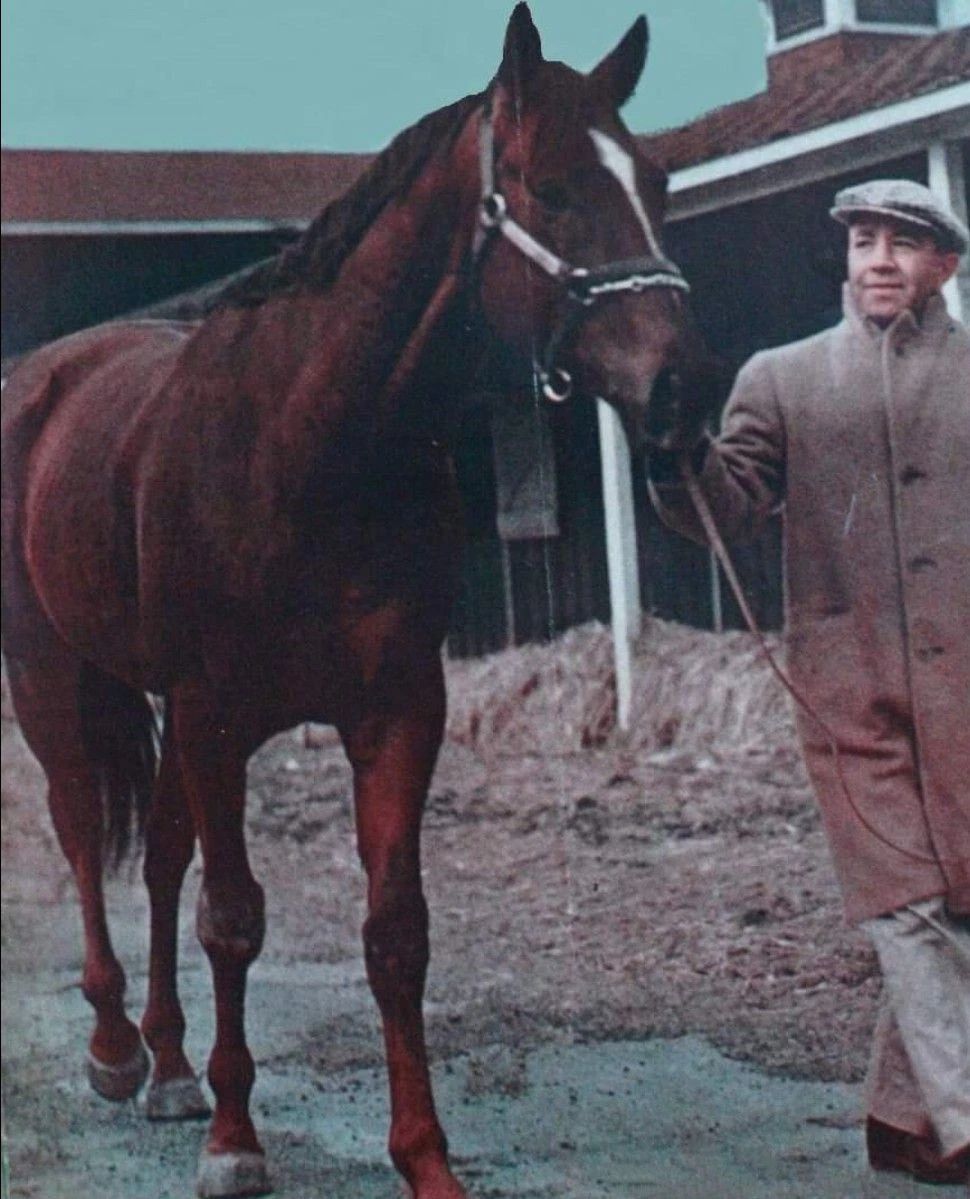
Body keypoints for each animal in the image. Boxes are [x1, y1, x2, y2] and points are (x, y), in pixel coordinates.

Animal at [1, 7, 705, 1197]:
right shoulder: (214, 713)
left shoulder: (395, 708)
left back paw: (170, 1065)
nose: (681, 393)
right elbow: (234, 918)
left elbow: (394, 932)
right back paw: (113, 1049)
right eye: (554, 187)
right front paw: (236, 1141)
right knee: (83, 835)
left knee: (157, 860)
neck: (315, 444)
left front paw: (423, 1157)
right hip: (50, 675)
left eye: (655, 180)